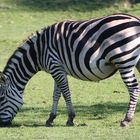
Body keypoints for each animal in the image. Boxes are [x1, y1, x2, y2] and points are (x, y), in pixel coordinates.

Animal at [0, 13, 140, 127]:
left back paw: (126, 120)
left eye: (1, 99)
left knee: (134, 88)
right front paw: (51, 118)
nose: (2, 124)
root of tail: (136, 20)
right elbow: (56, 94)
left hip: (124, 60)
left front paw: (70, 118)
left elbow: (66, 93)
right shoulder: (57, 69)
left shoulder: (55, 65)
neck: (38, 52)